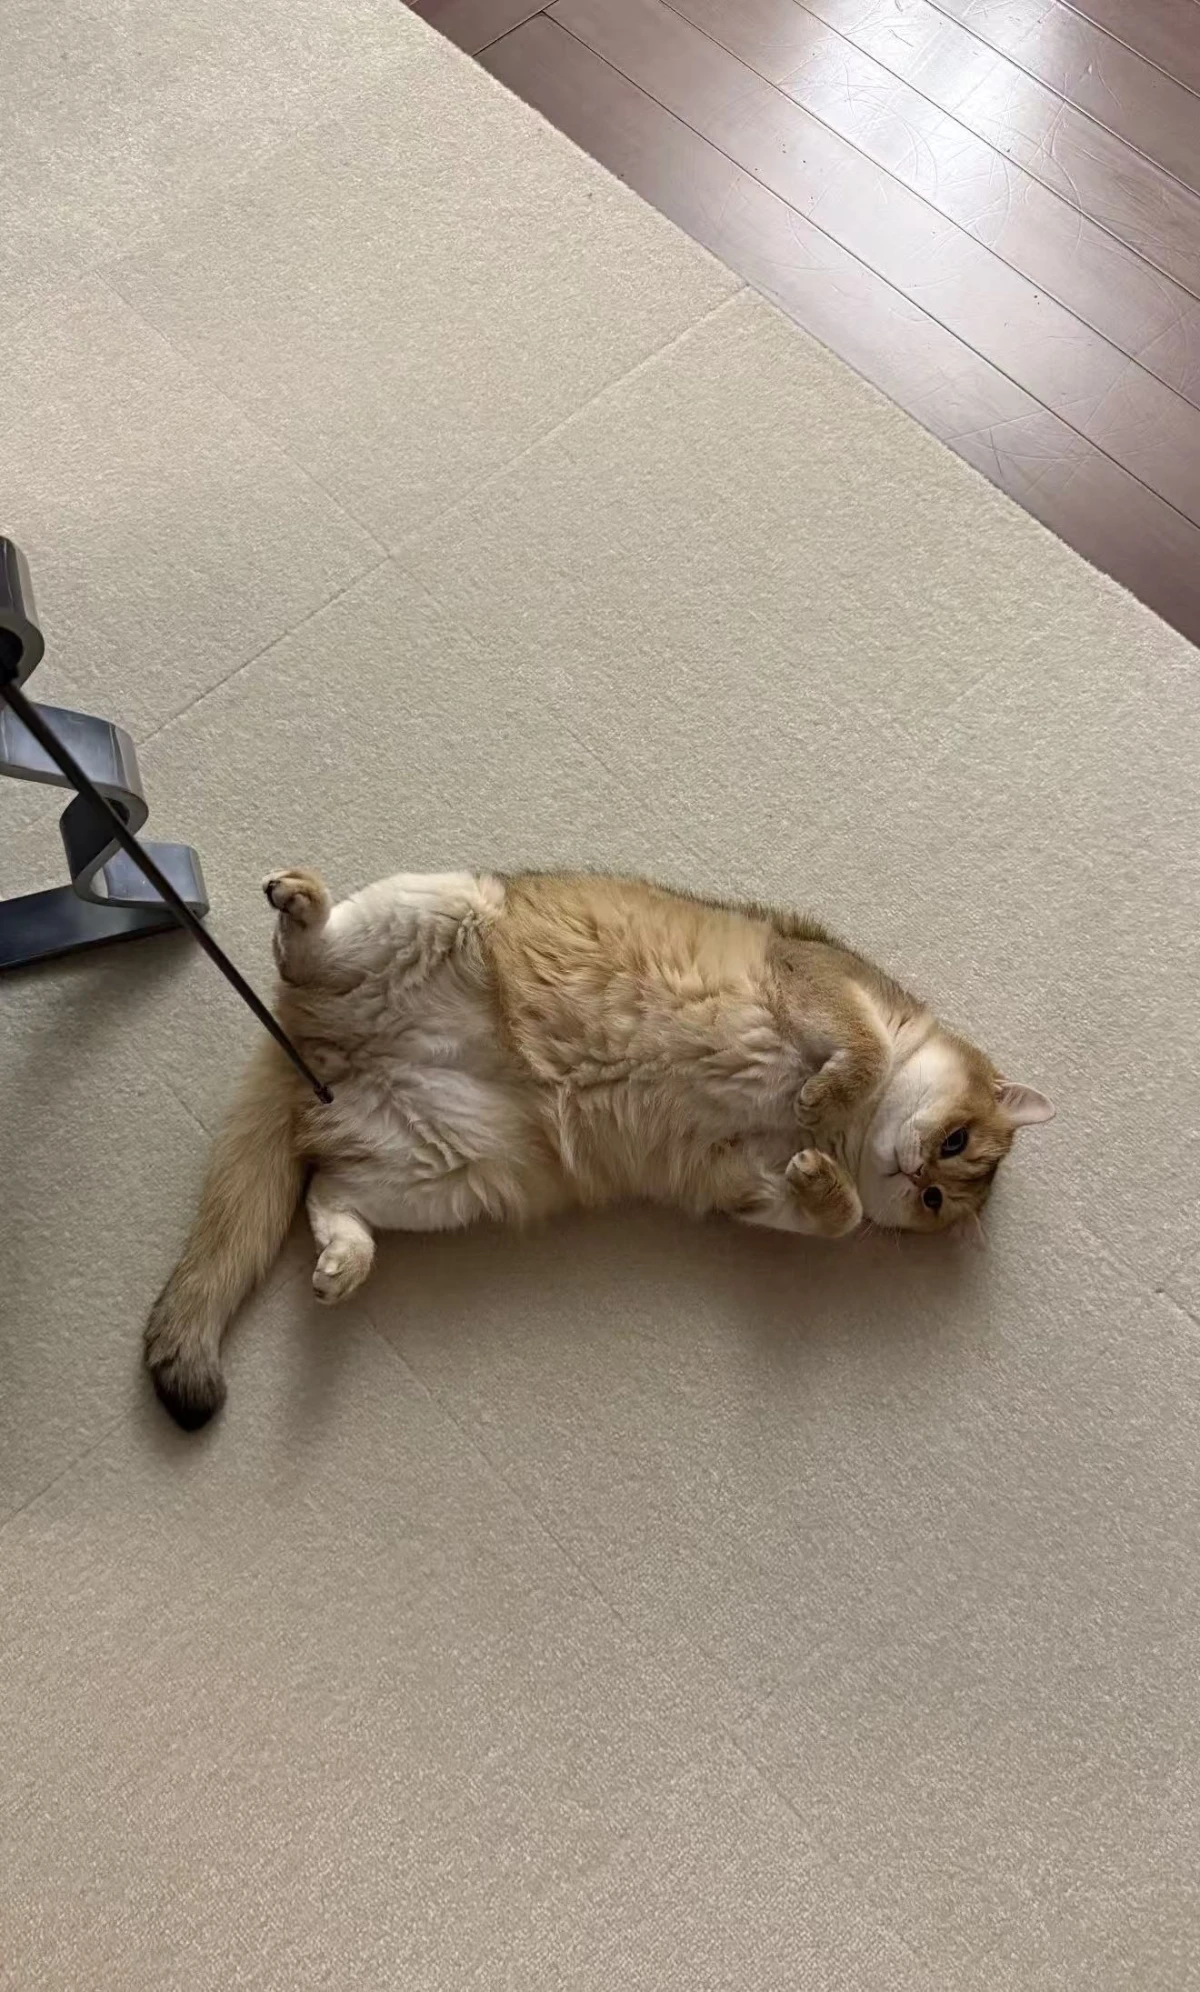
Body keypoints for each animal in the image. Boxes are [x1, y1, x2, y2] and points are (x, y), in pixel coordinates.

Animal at [145, 867, 1053, 1429]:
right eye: (955, 1141)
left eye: (935, 1196)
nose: (915, 1170)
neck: (846, 1138)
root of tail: (318, 1047)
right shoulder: (816, 974)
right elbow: (859, 1053)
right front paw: (826, 1096)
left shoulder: (738, 1180)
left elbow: (826, 1214)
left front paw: (825, 1180)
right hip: (444, 907)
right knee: (301, 961)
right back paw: (302, 909)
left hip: (457, 1170)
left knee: (326, 1191)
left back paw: (344, 1262)